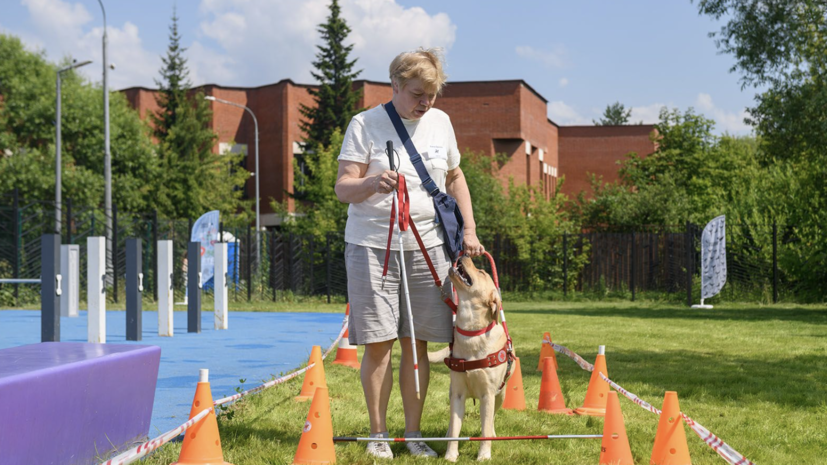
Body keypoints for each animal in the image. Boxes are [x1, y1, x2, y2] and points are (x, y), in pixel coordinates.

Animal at [430, 256, 516, 462]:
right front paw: (450, 456)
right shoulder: (458, 394)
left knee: (491, 420)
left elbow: (485, 429)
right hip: (452, 392)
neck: (471, 332)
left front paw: (484, 455)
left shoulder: (488, 395)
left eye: (482, 272)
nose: (463, 256)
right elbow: (455, 428)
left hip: (500, 394)